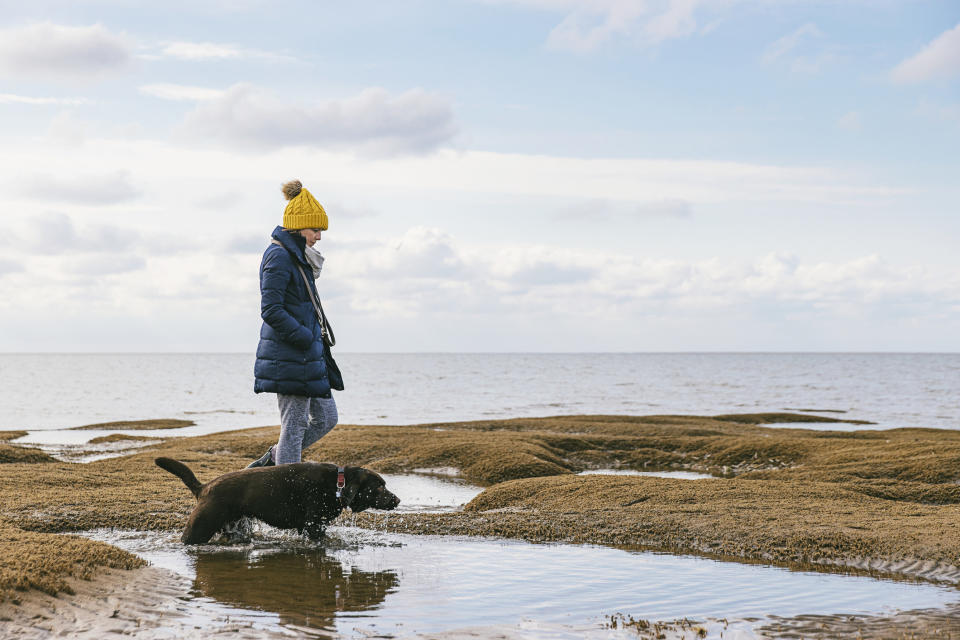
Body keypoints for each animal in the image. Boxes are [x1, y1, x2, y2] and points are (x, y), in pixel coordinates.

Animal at [157, 458, 402, 544]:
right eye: (379, 487)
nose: (398, 500)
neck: (336, 485)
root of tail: (204, 487)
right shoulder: (314, 526)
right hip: (199, 528)